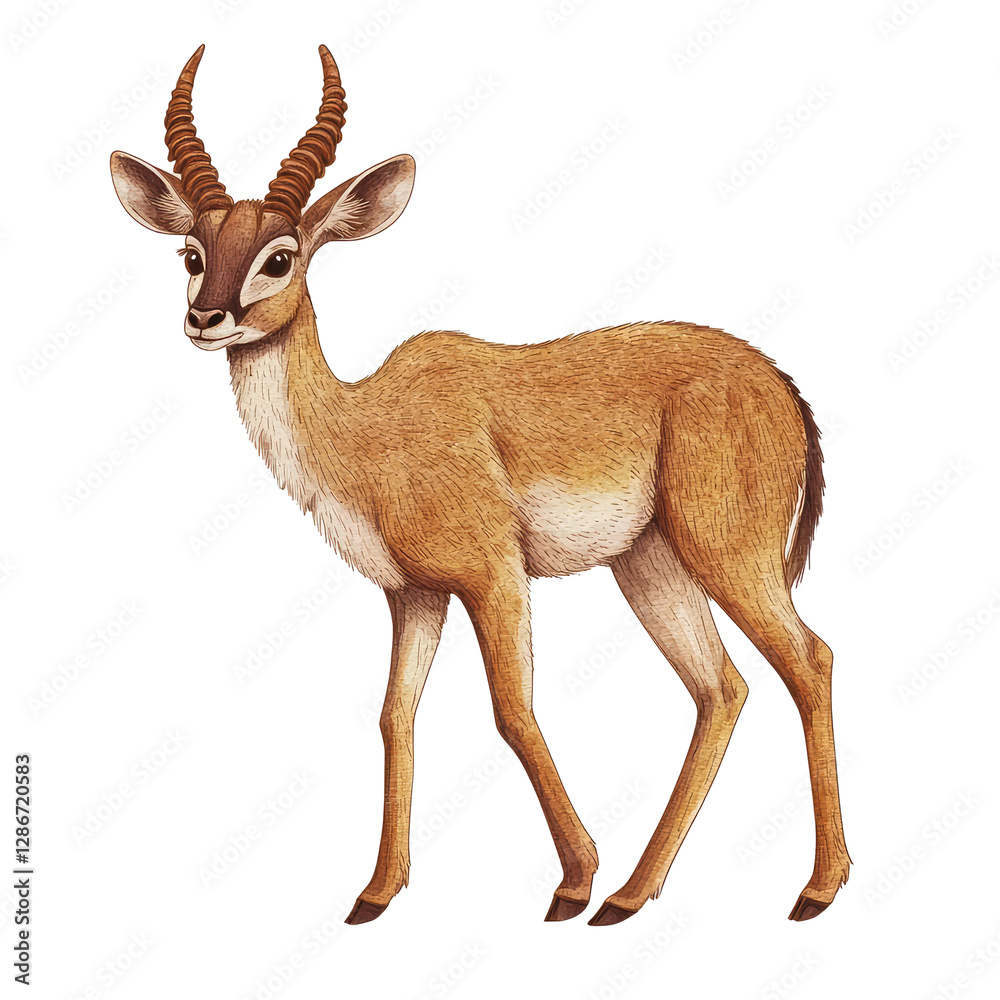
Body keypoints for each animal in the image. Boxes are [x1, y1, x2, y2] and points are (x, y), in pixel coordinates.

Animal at [109, 44, 850, 926]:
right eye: (192, 252)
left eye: (279, 256)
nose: (207, 319)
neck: (366, 430)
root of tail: (778, 383)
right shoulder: (415, 594)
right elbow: (394, 715)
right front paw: (375, 893)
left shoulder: (494, 576)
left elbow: (512, 711)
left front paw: (571, 881)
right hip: (650, 564)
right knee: (721, 689)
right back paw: (632, 896)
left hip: (727, 554)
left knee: (809, 659)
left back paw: (812, 889)